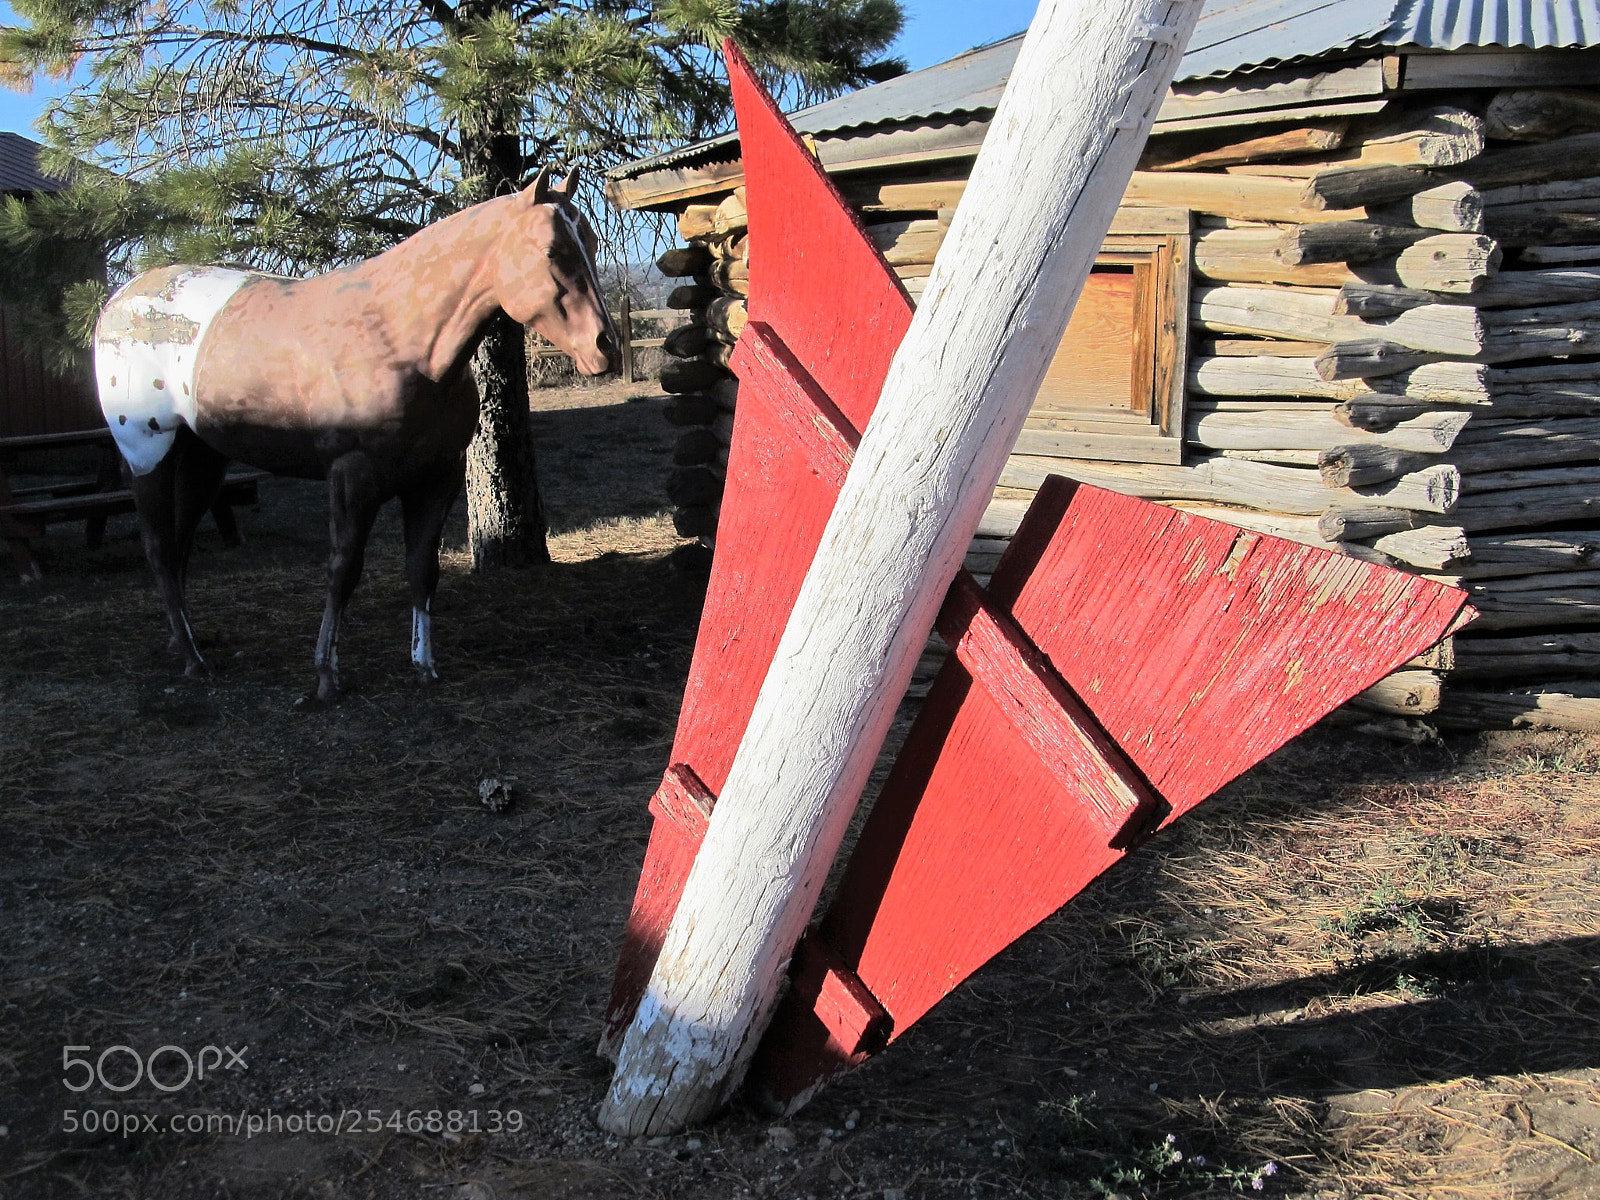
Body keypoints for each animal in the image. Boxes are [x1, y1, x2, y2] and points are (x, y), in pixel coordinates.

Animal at [95, 167, 616, 701]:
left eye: (592, 242)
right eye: (552, 251)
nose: (605, 347)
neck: (396, 339)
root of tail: (118, 301)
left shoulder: (437, 479)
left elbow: (422, 569)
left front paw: (424, 664)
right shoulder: (352, 476)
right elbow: (343, 569)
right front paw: (326, 674)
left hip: (202, 458)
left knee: (178, 546)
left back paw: (184, 643)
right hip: (148, 453)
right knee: (159, 549)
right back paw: (193, 659)